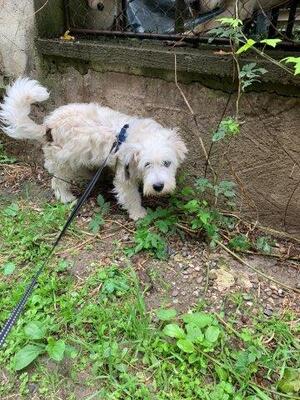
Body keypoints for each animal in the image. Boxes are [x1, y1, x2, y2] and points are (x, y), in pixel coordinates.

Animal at [0, 76, 186, 220]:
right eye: (147, 164)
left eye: (167, 163)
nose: (158, 187)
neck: (138, 137)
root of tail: (48, 126)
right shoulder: (124, 177)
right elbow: (131, 197)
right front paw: (139, 214)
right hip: (64, 162)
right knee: (57, 182)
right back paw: (66, 197)